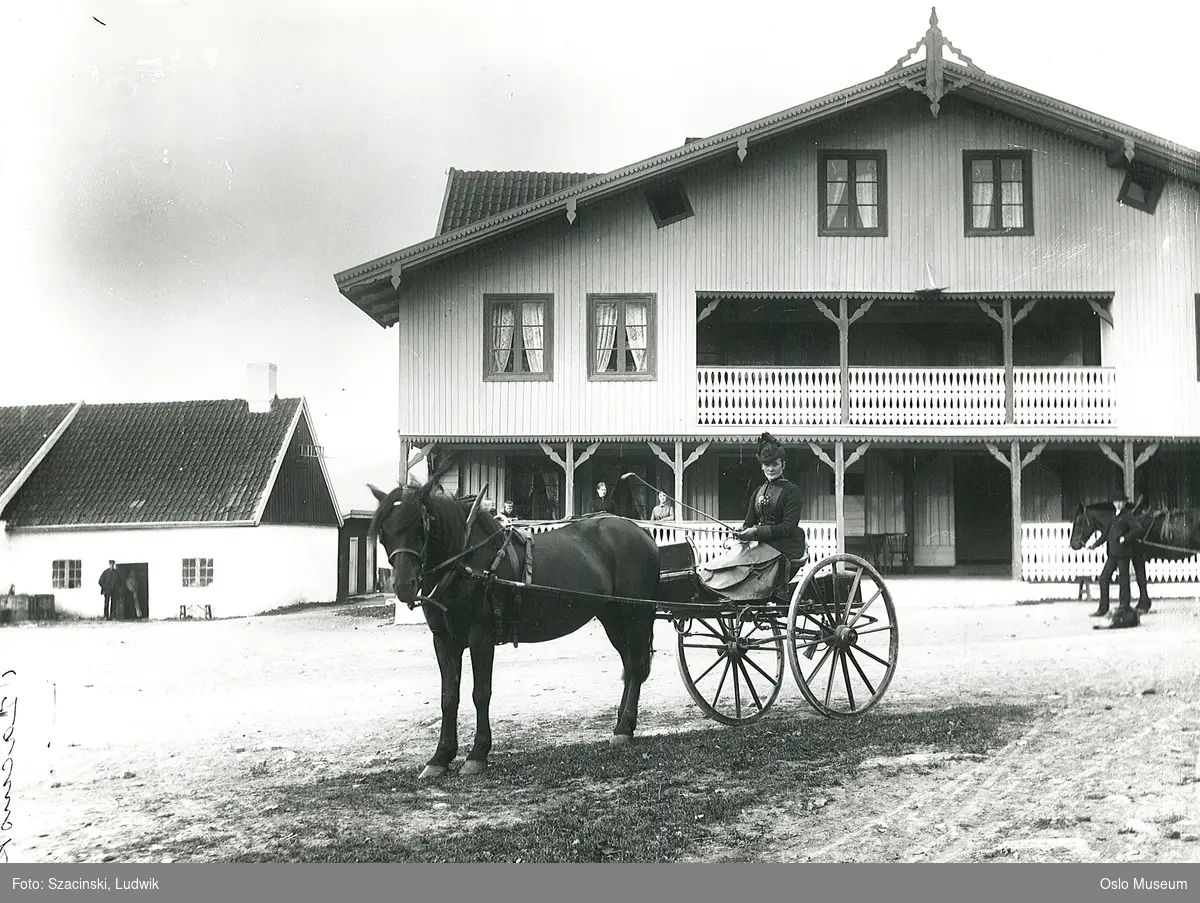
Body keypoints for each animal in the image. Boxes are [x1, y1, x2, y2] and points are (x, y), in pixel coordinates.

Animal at [369, 468, 662, 778]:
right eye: (385, 530)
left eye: (421, 527)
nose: (404, 586)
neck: (466, 564)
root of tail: (643, 534)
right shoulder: (444, 639)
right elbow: (449, 697)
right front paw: (440, 757)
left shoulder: (481, 636)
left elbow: (480, 693)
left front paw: (478, 754)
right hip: (613, 617)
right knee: (629, 666)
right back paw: (622, 724)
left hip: (635, 616)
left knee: (636, 666)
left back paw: (624, 727)